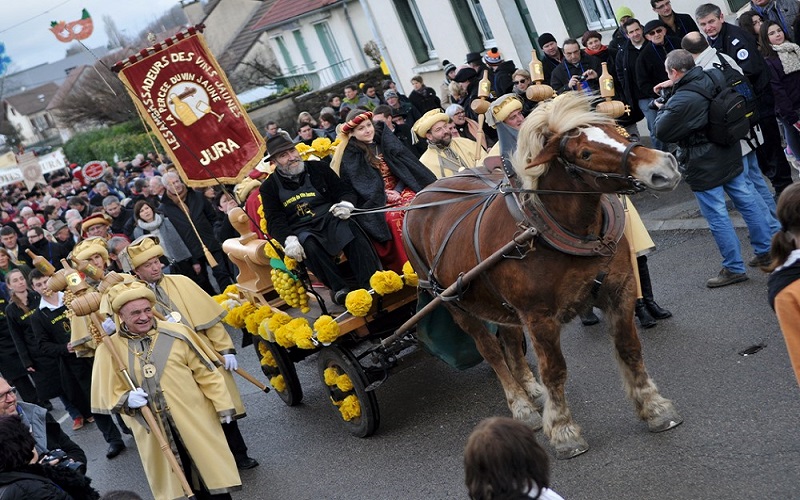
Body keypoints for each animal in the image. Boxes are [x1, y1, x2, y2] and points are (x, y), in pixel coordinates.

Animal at [404, 92, 684, 458]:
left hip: (498, 302)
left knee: (509, 342)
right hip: (454, 302)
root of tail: (418, 199)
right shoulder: (539, 317)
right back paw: (522, 406)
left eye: (618, 131)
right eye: (585, 153)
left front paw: (654, 408)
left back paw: (531, 390)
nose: (664, 167)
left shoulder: (619, 290)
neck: (555, 227)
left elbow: (629, 348)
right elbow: (555, 370)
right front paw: (563, 431)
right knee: (491, 350)